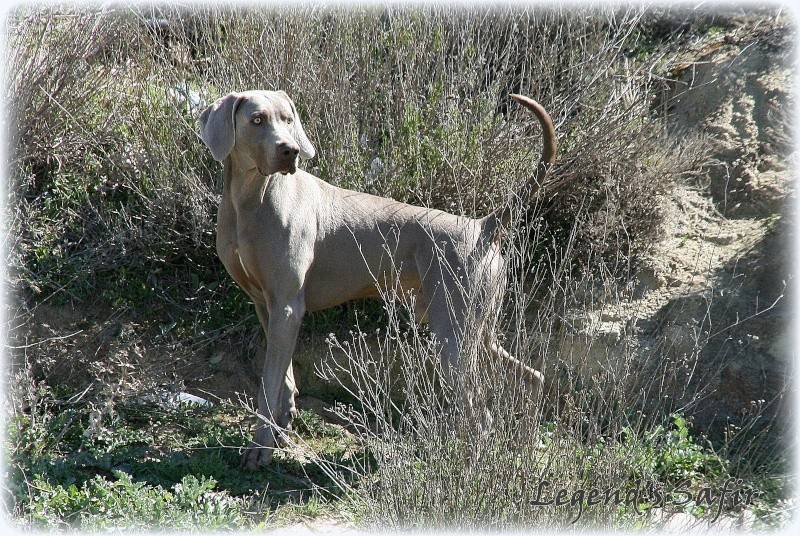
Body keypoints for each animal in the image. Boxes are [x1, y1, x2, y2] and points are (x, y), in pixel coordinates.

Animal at [198, 90, 556, 466]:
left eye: (288, 119)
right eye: (257, 120)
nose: (290, 151)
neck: (251, 197)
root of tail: (481, 226)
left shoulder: (287, 306)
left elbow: (268, 382)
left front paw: (260, 448)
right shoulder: (266, 305)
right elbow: (284, 376)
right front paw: (283, 427)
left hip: (452, 335)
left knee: (480, 412)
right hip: (474, 327)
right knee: (532, 377)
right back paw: (524, 445)